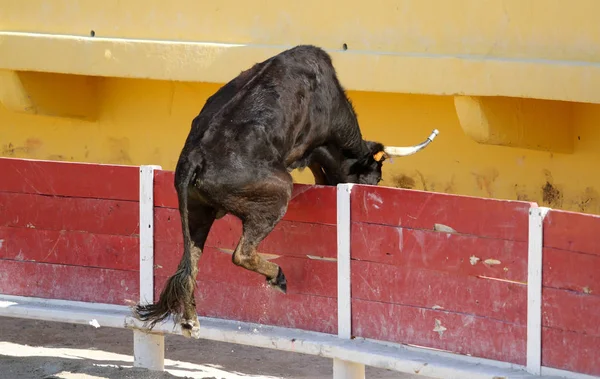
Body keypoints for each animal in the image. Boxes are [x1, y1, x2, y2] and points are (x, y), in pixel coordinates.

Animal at [134, 44, 438, 338]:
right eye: (374, 177)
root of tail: (197, 155)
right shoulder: (311, 145)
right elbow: (317, 160)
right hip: (277, 195)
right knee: (241, 253)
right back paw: (277, 277)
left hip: (196, 211)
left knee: (190, 264)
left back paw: (191, 321)